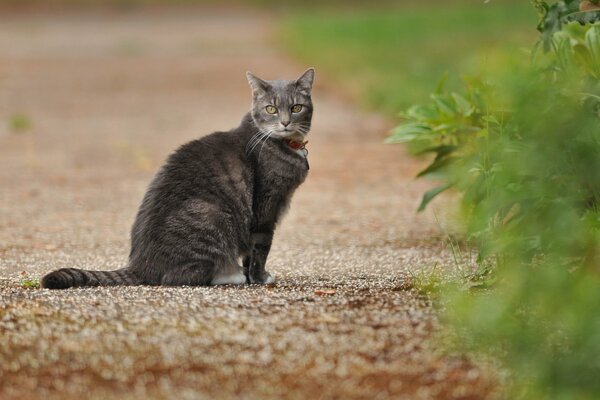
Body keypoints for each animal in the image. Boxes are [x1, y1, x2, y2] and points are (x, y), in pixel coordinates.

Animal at [41, 68, 314, 288]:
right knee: (178, 277)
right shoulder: (266, 209)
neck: (286, 144)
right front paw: (258, 278)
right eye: (271, 108)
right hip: (211, 213)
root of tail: (141, 265)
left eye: (296, 108)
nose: (285, 122)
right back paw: (230, 274)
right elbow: (259, 249)